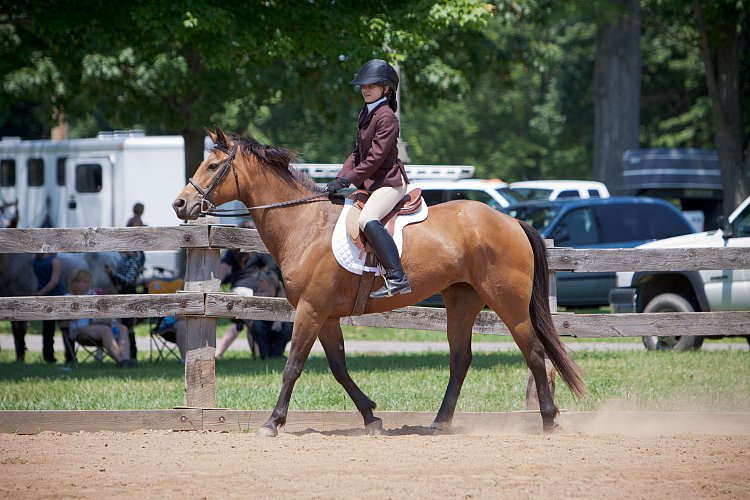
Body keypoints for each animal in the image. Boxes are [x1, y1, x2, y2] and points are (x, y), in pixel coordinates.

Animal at [172, 127, 588, 436]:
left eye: (212, 165)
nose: (180, 205)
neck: (305, 225)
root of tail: (510, 220)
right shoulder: (326, 316)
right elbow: (338, 368)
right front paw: (371, 416)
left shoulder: (310, 310)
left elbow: (293, 366)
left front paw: (272, 423)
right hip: (462, 299)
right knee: (460, 359)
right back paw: (440, 422)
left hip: (508, 301)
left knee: (533, 352)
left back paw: (549, 420)